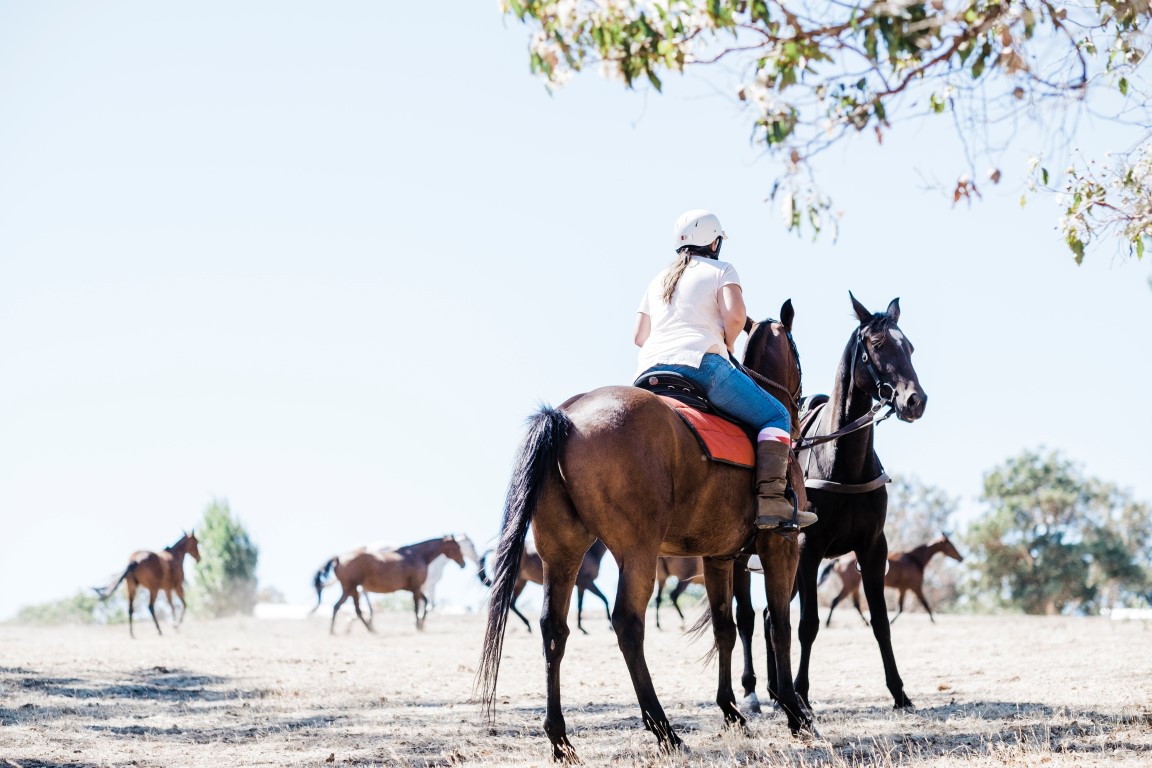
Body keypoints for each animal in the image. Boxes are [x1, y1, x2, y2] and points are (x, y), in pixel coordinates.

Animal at [313, 534, 465, 635]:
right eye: (457, 547)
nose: (463, 564)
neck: (418, 555)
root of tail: (339, 557)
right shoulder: (415, 588)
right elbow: (417, 607)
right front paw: (417, 626)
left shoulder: (412, 589)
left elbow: (425, 602)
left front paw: (421, 625)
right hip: (349, 587)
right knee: (337, 606)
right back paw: (333, 631)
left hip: (353, 589)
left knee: (357, 610)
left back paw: (371, 629)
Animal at [476, 299, 811, 755]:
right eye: (796, 351)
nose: (802, 400)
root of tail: (565, 417)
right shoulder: (782, 548)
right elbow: (779, 626)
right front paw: (796, 714)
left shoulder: (719, 557)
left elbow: (725, 628)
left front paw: (732, 712)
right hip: (638, 552)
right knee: (627, 624)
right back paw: (664, 729)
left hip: (561, 552)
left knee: (553, 629)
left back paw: (560, 737)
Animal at [820, 531, 963, 626]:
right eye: (950, 544)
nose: (961, 557)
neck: (914, 560)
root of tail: (840, 561)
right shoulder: (916, 587)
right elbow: (925, 604)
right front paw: (934, 621)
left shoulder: (902, 589)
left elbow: (901, 608)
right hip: (850, 585)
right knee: (836, 600)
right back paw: (827, 623)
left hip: (853, 587)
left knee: (855, 605)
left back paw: (866, 623)